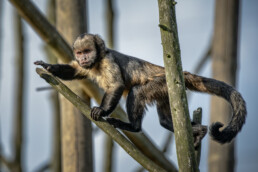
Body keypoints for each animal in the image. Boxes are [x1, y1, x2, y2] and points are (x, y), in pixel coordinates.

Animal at [34, 34, 246, 148]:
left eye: (87, 51)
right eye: (79, 53)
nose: (83, 58)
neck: (97, 62)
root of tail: (175, 73)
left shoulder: (108, 61)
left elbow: (117, 85)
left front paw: (101, 110)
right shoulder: (84, 66)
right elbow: (74, 71)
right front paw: (48, 67)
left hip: (160, 83)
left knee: (137, 92)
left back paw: (133, 126)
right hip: (168, 90)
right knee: (166, 120)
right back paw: (199, 130)